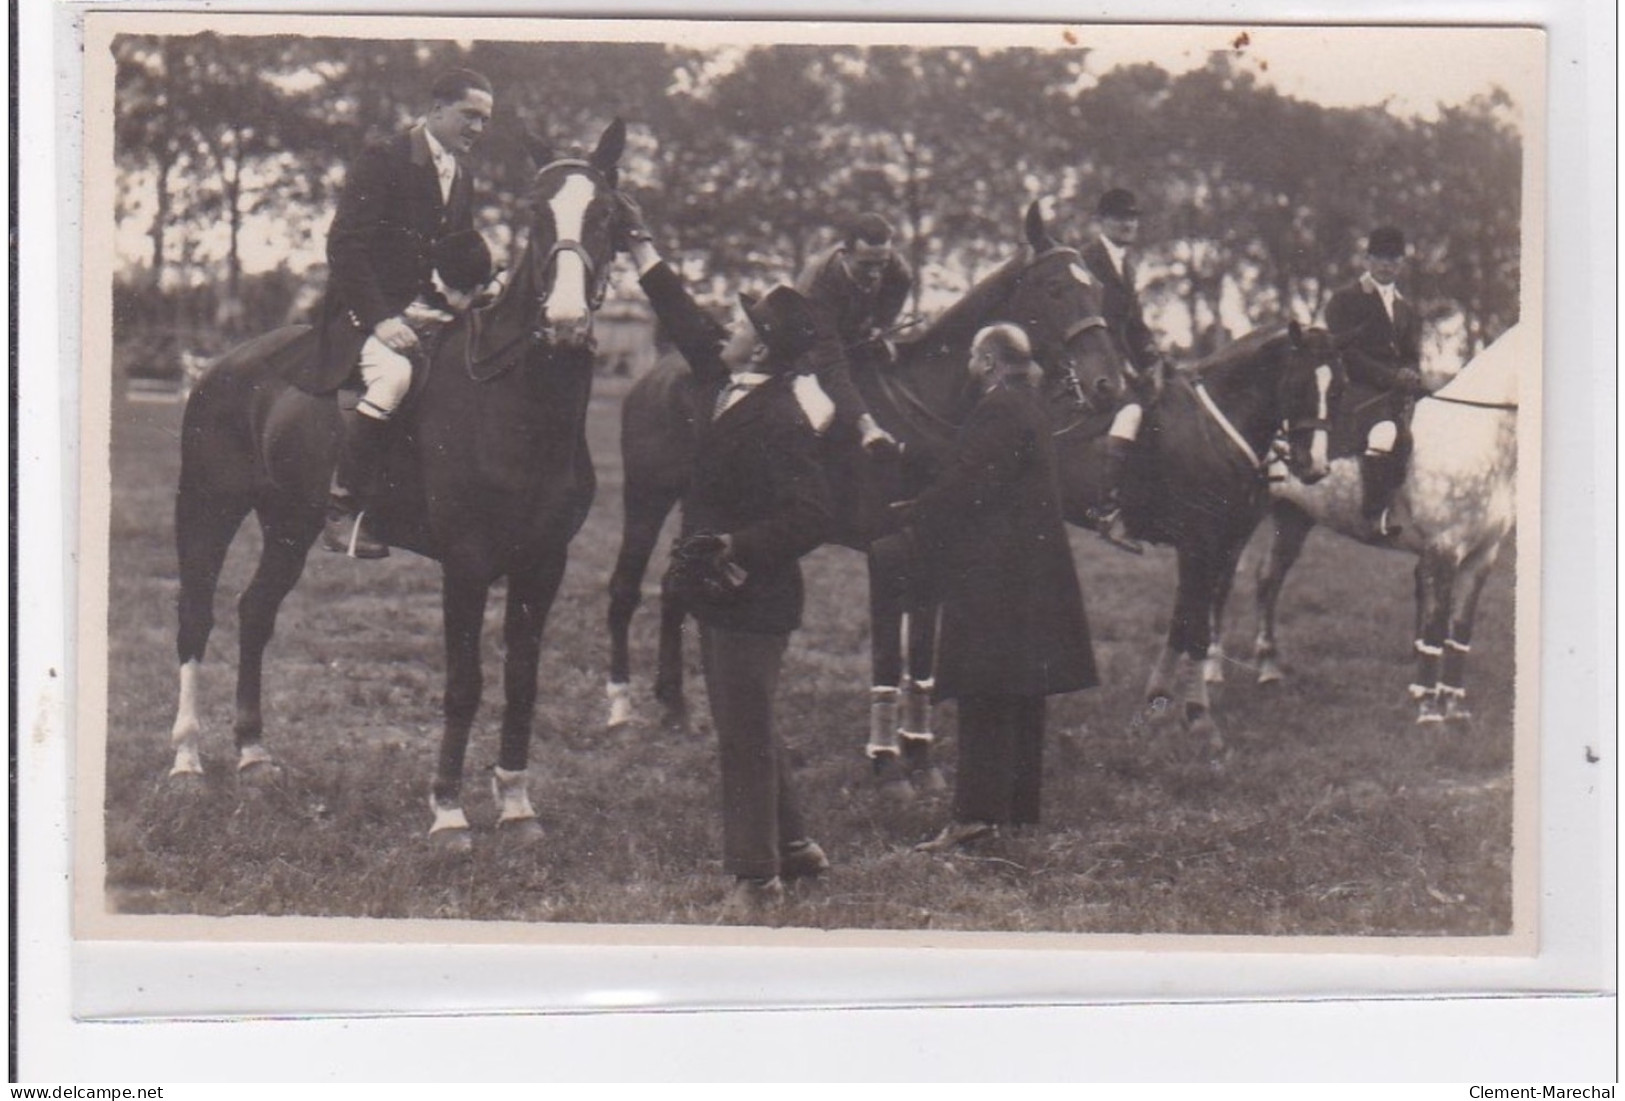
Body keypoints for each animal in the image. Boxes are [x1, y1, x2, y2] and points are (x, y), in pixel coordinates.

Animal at [169, 120, 627, 850]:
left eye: (607, 213)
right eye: (533, 213)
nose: (563, 323)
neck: (518, 403)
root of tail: (220, 365)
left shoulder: (543, 562)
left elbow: (522, 680)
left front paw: (517, 804)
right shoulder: (466, 563)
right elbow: (464, 682)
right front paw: (448, 813)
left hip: (290, 524)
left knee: (255, 612)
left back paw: (254, 754)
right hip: (208, 510)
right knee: (196, 616)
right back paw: (186, 759)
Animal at [604, 202, 1124, 792]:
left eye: (1098, 289)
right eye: (1056, 288)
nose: (1108, 385)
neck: (924, 413)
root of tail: (661, 368)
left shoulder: (931, 548)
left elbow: (920, 658)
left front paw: (920, 756)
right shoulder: (887, 551)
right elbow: (886, 656)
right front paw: (886, 761)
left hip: (699, 511)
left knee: (675, 589)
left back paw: (674, 706)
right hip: (647, 496)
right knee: (626, 589)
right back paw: (620, 710)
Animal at [1215, 323, 1527, 727]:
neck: (1476, 436)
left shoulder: (1482, 556)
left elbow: (1460, 631)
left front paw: (1456, 708)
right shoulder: (1444, 549)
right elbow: (1435, 627)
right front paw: (1429, 711)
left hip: (1293, 516)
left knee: (1268, 579)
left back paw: (1268, 669)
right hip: (1242, 518)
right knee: (1222, 583)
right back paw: (1212, 670)